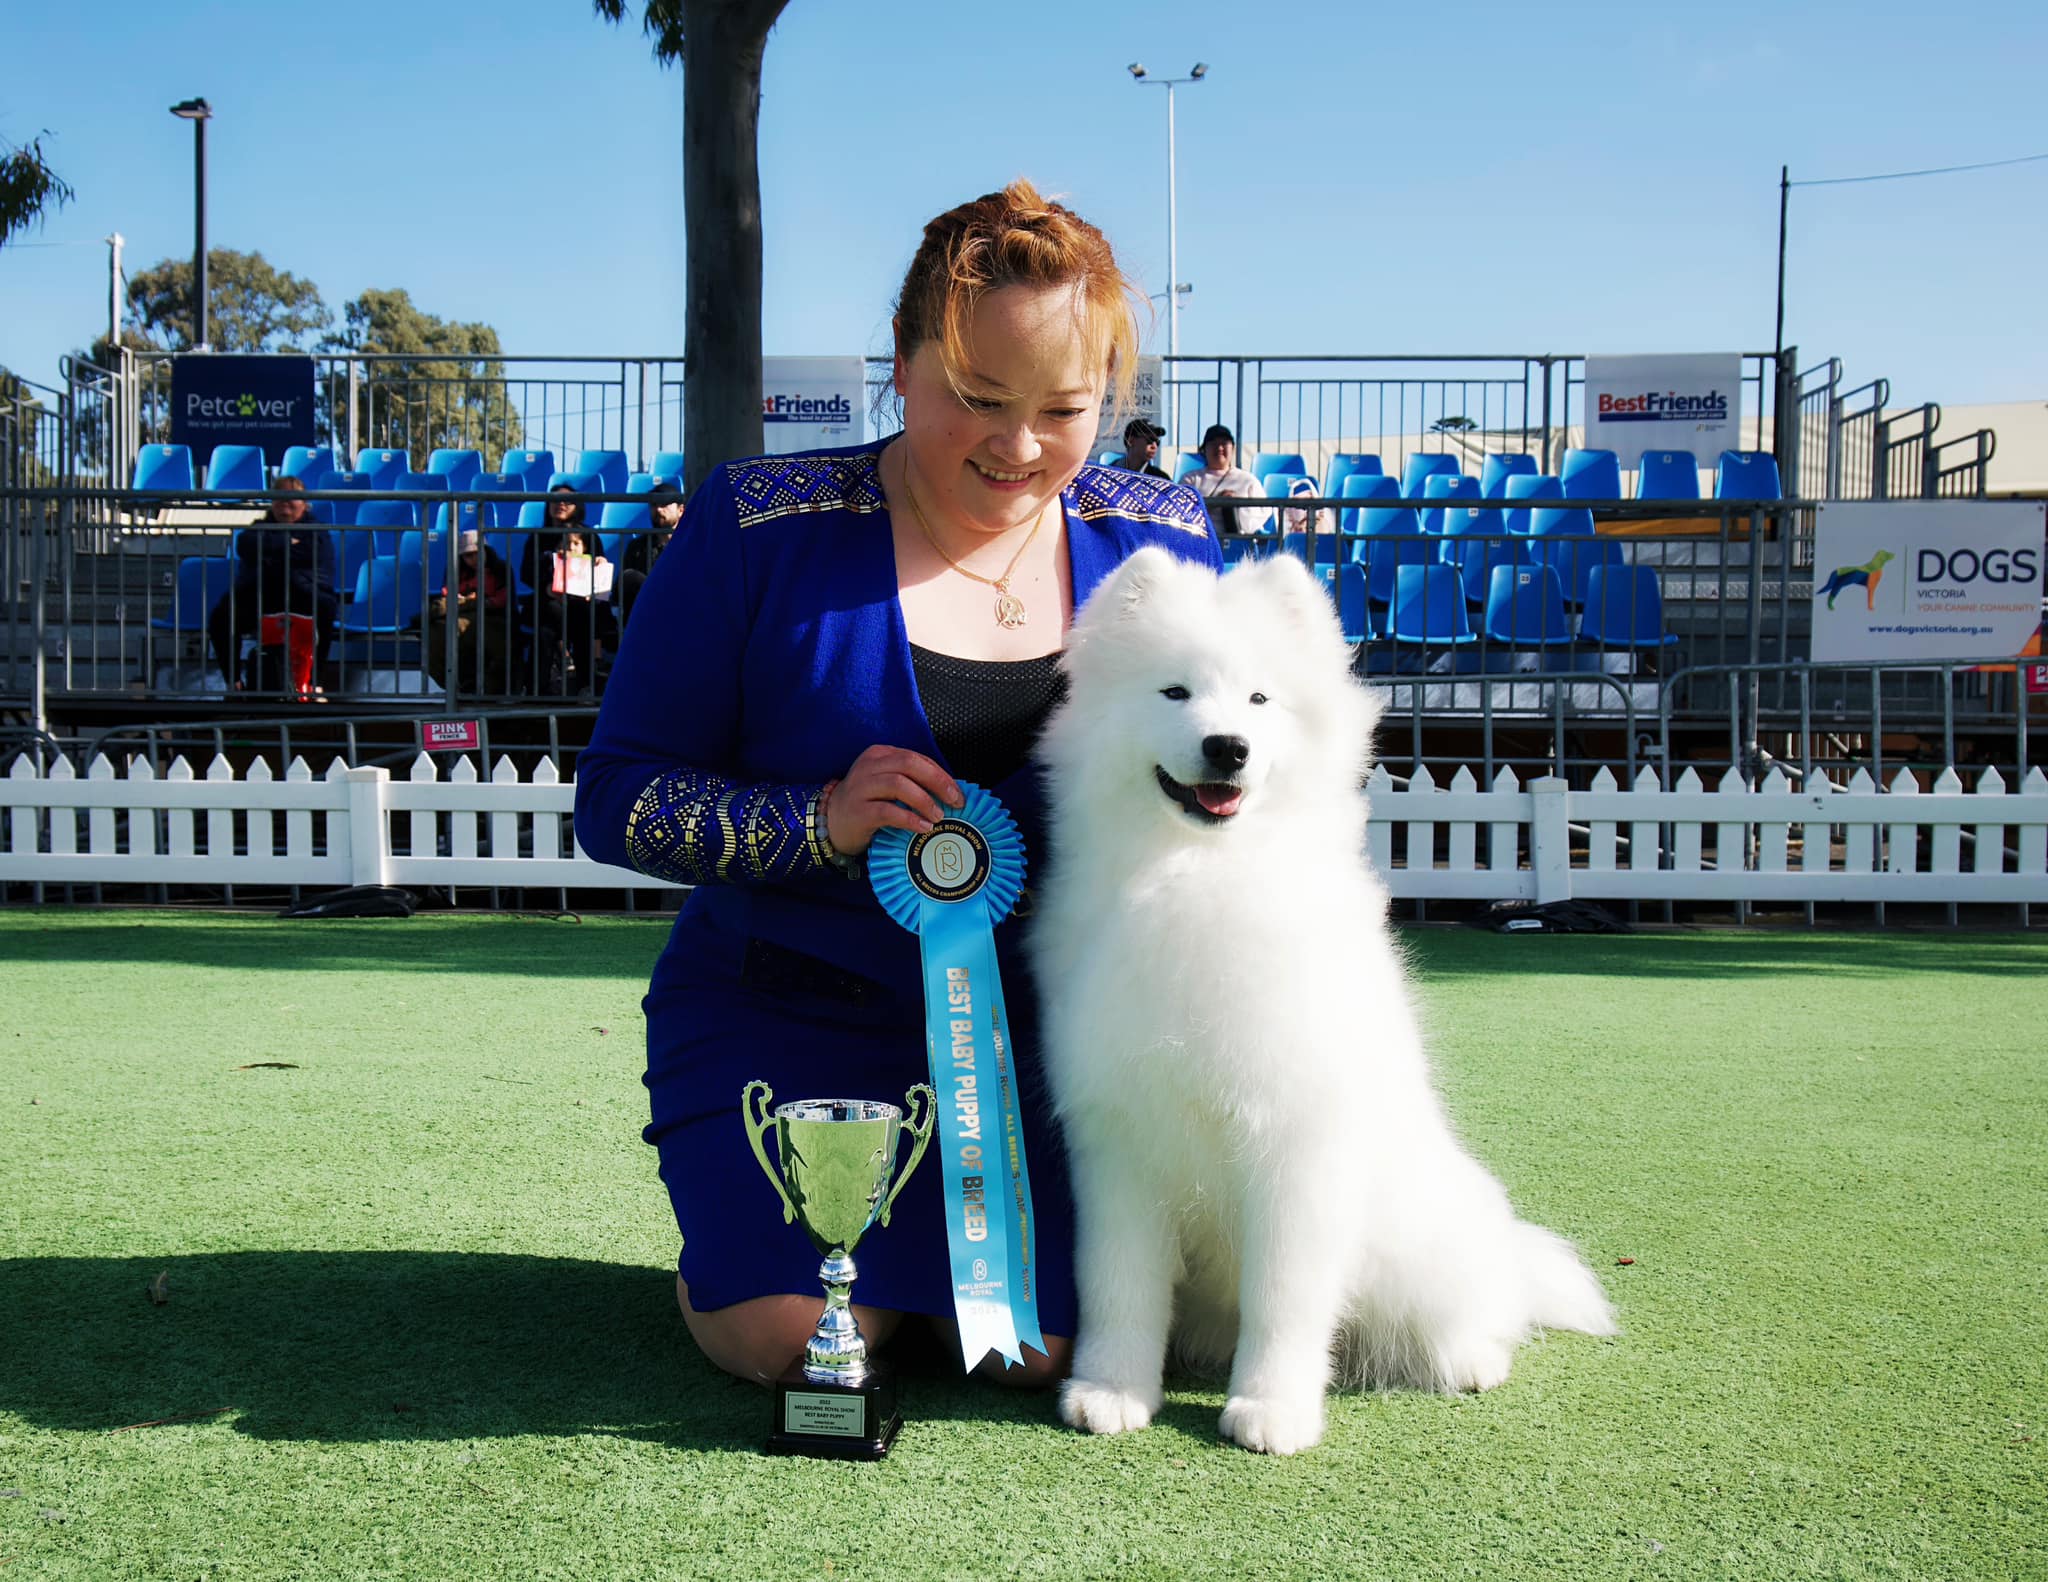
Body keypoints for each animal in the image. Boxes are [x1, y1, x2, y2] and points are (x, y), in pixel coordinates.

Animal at [1030, 547, 1615, 1455]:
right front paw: (1111, 1392)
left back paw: (1473, 1359)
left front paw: (1271, 1410)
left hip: (1426, 1241)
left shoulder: (1296, 1145)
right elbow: (1117, 1285)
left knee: (1476, 1313)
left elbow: (1286, 1298)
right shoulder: (1119, 1145)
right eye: (1174, 692)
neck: (1201, 878)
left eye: (1260, 699)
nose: (1227, 748)